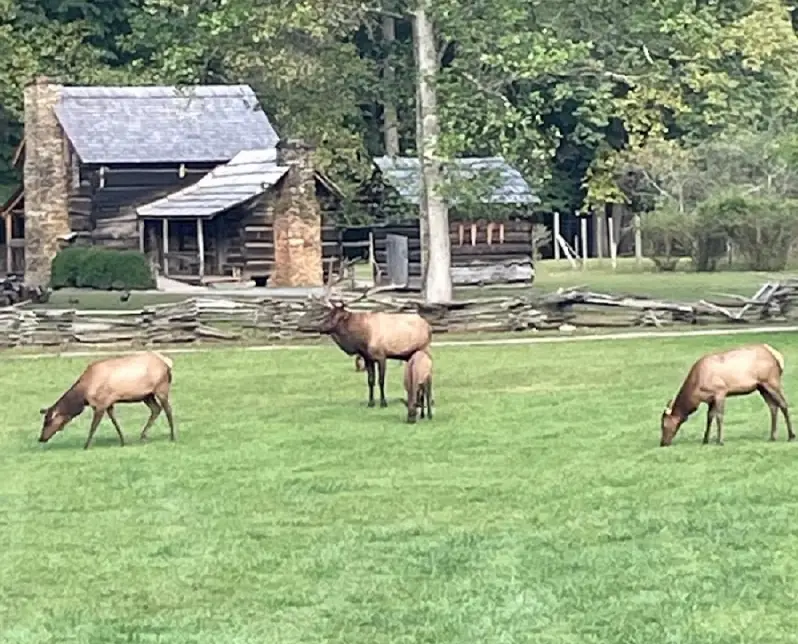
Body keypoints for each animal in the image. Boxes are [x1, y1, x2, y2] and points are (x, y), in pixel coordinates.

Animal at [38, 350, 176, 450]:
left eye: (47, 422)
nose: (41, 438)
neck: (83, 396)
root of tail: (167, 364)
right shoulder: (109, 403)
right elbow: (115, 423)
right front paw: (122, 441)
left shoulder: (100, 404)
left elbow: (93, 426)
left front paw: (86, 445)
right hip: (147, 396)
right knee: (156, 409)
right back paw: (143, 436)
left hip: (161, 389)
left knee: (168, 410)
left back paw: (172, 436)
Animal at [664, 342, 792, 448]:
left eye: (663, 425)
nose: (662, 443)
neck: (696, 392)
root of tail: (777, 356)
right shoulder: (710, 399)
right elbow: (710, 416)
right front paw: (705, 440)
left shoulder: (720, 392)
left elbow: (719, 416)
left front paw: (720, 441)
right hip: (762, 387)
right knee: (773, 407)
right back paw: (772, 436)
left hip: (771, 381)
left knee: (783, 404)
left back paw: (791, 436)